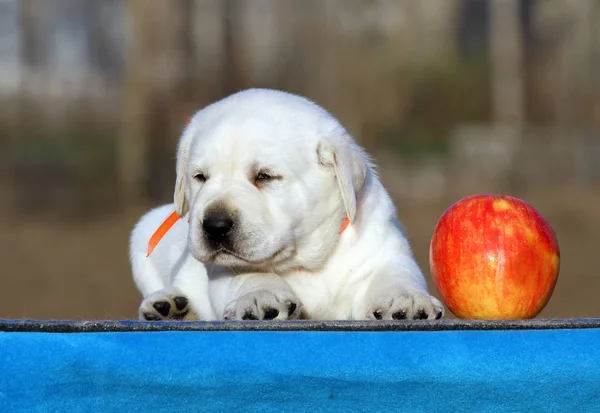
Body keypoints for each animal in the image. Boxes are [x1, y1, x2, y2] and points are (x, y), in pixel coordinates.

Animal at [129, 89, 442, 322]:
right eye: (199, 177)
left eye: (265, 176)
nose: (214, 224)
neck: (306, 261)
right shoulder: (225, 270)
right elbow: (251, 274)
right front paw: (260, 296)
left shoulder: (384, 250)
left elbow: (395, 273)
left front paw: (405, 299)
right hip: (142, 235)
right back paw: (168, 306)